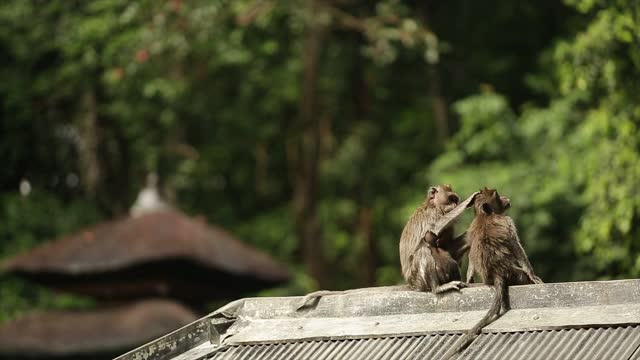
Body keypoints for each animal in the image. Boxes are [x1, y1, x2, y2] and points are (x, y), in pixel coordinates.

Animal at [298, 186, 478, 310]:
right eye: (451, 198)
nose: (456, 203)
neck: (434, 206)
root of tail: (411, 284)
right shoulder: (433, 215)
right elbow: (433, 231)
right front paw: (469, 201)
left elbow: (447, 247)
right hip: (417, 277)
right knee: (423, 250)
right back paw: (438, 288)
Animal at [442, 188, 544, 360]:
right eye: (497, 196)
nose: (506, 198)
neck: (485, 215)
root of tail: (498, 272)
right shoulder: (508, 221)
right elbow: (516, 246)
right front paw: (533, 275)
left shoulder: (471, 228)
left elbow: (471, 256)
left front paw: (469, 278)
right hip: (516, 274)